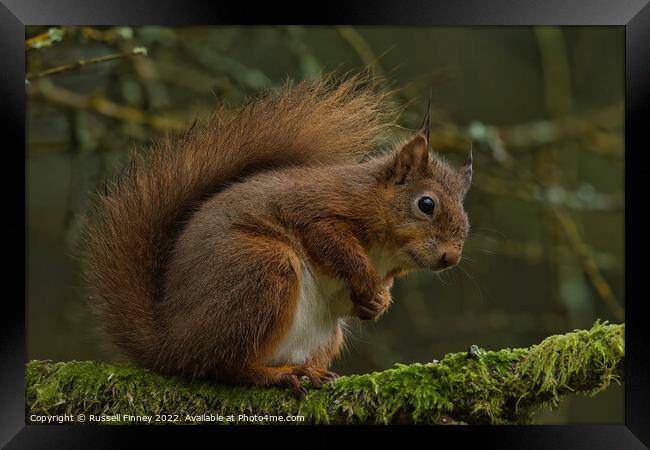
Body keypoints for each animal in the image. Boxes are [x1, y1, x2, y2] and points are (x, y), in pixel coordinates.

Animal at [85, 75, 470, 396]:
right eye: (426, 204)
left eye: (466, 218)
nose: (451, 258)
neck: (387, 250)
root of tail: (171, 342)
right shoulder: (317, 210)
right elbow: (333, 243)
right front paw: (366, 279)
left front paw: (378, 302)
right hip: (263, 269)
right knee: (223, 367)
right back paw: (279, 375)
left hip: (321, 333)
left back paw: (309, 372)